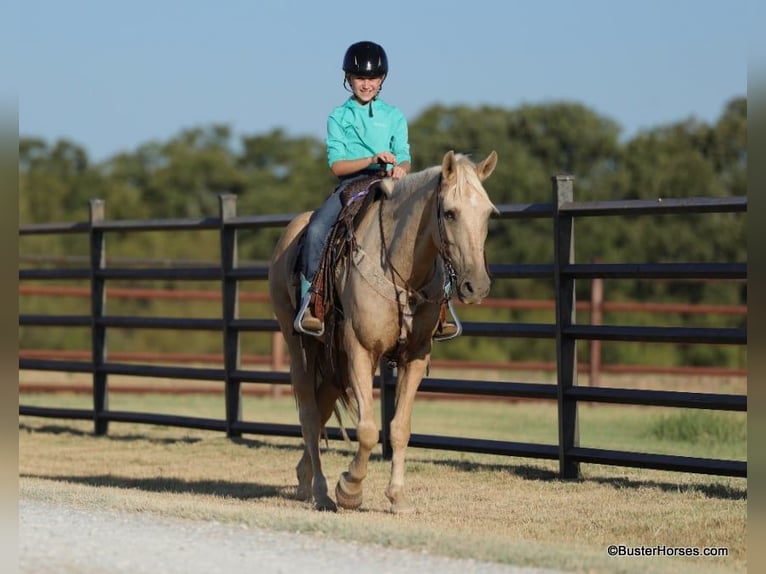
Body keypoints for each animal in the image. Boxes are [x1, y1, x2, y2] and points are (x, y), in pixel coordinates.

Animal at [268, 151, 500, 516]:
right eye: (450, 212)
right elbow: (366, 430)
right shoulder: (361, 351)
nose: (476, 286)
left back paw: (304, 479)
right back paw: (321, 492)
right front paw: (350, 489)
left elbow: (400, 427)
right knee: (308, 415)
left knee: (320, 413)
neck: (399, 267)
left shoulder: (415, 357)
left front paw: (398, 497)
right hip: (300, 350)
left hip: (333, 366)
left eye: (489, 213)